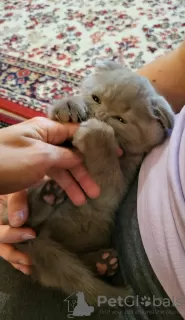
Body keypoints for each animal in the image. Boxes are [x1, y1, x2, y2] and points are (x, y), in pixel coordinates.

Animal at [13, 61, 175, 304]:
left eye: (120, 119)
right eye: (96, 98)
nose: (99, 115)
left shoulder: (113, 190)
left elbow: (106, 169)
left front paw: (96, 133)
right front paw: (68, 104)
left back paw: (103, 262)